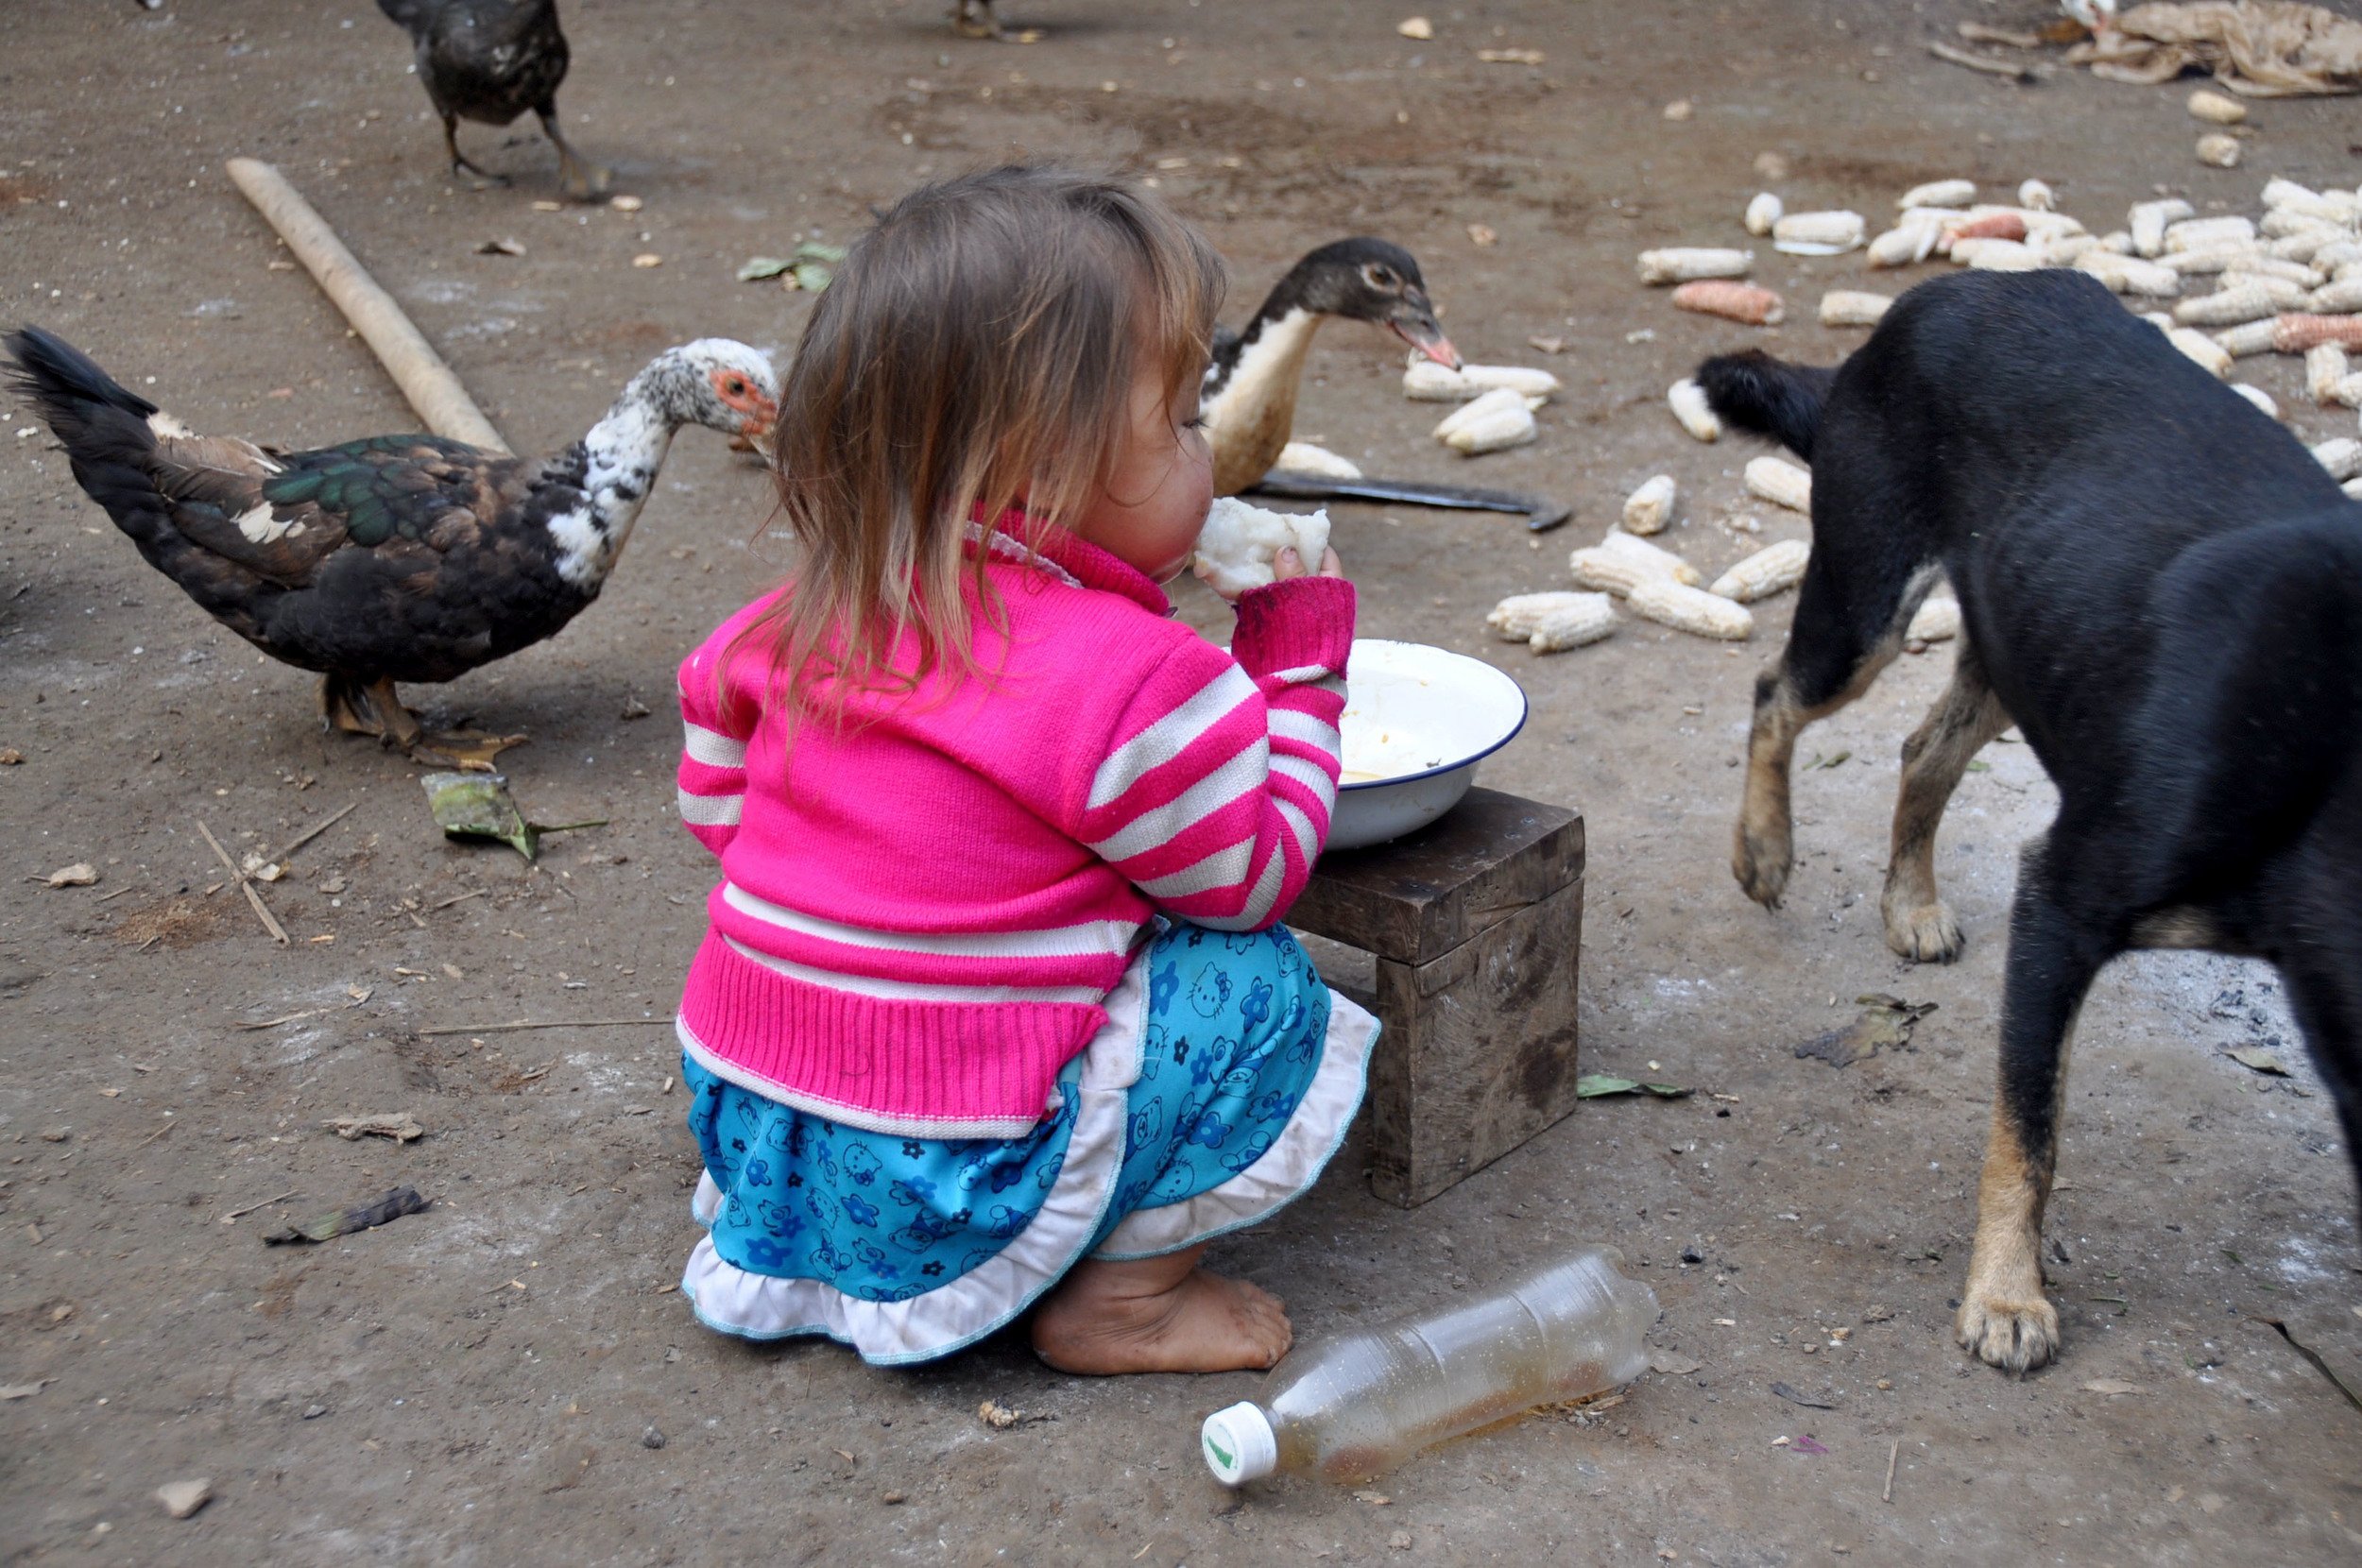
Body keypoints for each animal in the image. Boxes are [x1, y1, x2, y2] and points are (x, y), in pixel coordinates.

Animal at [1701, 269, 2362, 1370]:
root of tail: (1925, 302)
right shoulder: (2061, 904)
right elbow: (2030, 1135)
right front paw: (2007, 1298)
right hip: (1865, 600)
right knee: (1773, 693)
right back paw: (1762, 848)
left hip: (2015, 637)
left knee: (1921, 749)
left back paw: (1910, 903)